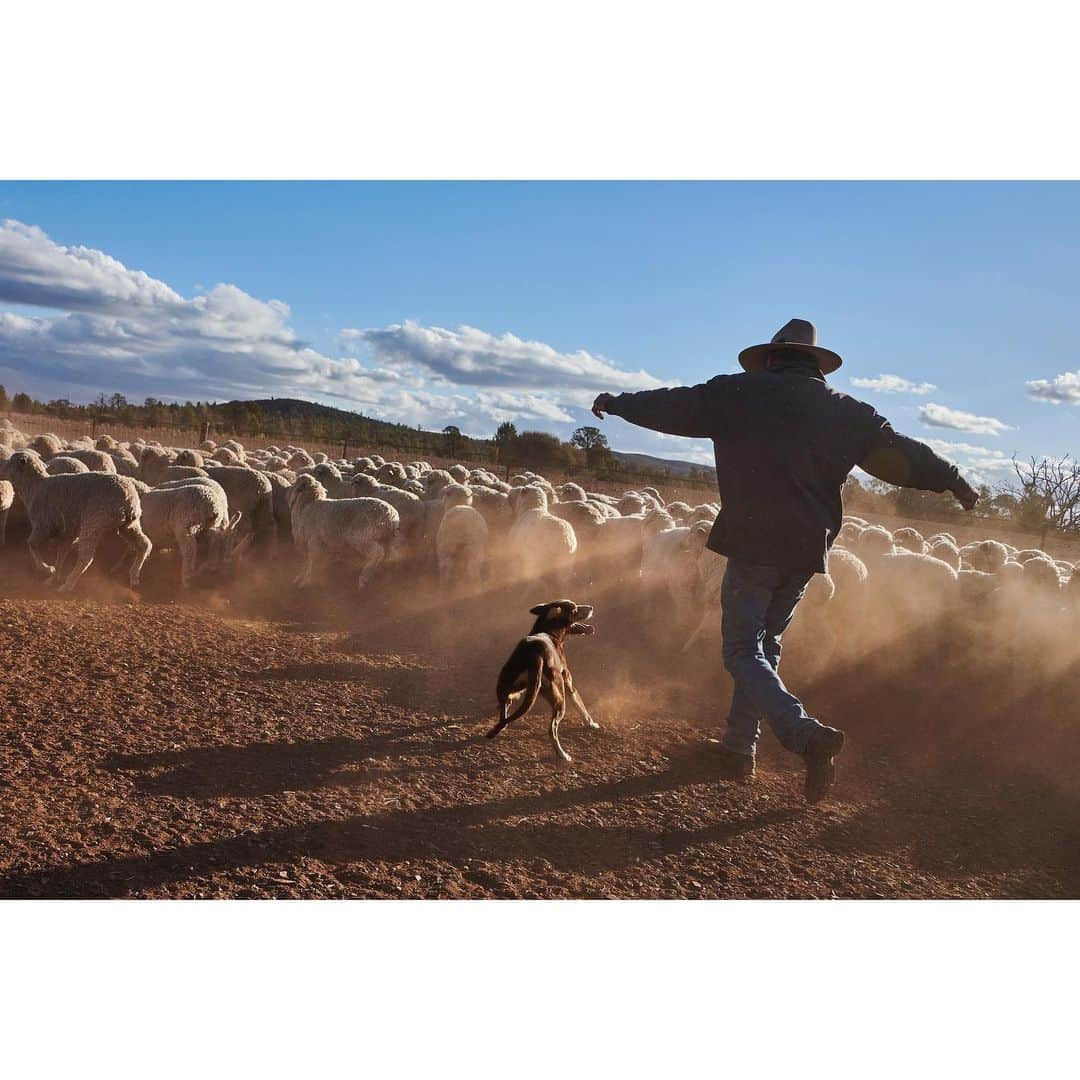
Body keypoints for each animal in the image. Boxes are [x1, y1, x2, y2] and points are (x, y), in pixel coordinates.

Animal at [490, 600, 600, 760]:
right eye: (574, 609)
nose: (591, 608)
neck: (548, 631)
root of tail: (534, 655)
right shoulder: (569, 683)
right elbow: (581, 706)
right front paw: (591, 723)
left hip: (506, 686)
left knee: (504, 712)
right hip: (559, 701)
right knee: (552, 730)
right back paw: (563, 755)